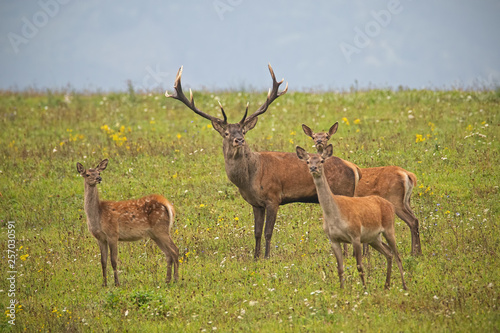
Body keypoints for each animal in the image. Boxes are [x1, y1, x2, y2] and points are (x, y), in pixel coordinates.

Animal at [77, 158, 179, 286]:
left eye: (98, 172)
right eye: (87, 174)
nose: (99, 178)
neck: (98, 215)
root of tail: (166, 204)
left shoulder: (113, 233)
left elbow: (113, 260)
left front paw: (117, 283)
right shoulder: (100, 238)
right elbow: (103, 261)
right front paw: (104, 284)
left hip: (161, 229)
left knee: (175, 250)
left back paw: (176, 279)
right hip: (155, 234)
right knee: (168, 254)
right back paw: (167, 280)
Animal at [296, 144, 406, 290]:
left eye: (322, 160)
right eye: (308, 161)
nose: (313, 168)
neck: (335, 215)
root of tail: (390, 205)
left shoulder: (355, 235)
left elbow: (359, 266)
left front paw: (364, 289)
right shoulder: (333, 239)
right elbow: (340, 268)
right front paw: (342, 290)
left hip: (389, 228)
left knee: (397, 255)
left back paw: (404, 286)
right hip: (373, 238)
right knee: (388, 253)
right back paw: (386, 285)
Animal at [302, 122, 420, 254]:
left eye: (327, 136)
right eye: (313, 136)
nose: (319, 141)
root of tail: (408, 175)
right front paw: (366, 253)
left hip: (395, 198)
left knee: (412, 221)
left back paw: (414, 252)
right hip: (406, 200)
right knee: (415, 219)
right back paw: (417, 252)